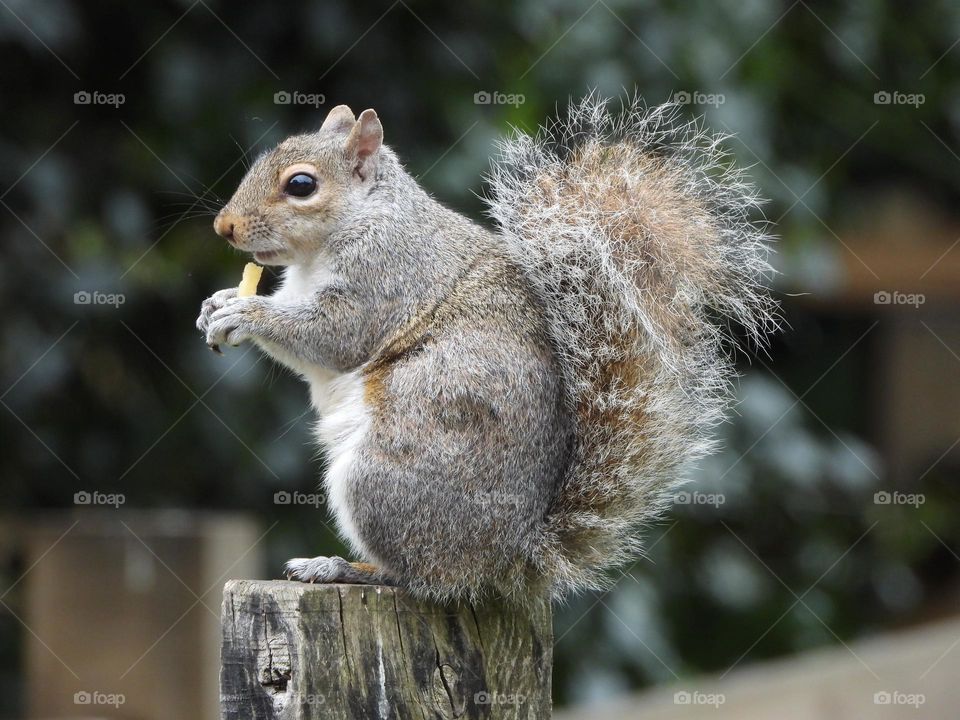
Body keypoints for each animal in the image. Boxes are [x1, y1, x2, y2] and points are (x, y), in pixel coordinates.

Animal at [196, 95, 775, 604]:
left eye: (301, 184)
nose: (223, 226)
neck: (347, 229)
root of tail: (508, 557)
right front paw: (218, 303)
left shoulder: (384, 277)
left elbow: (332, 337)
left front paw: (245, 314)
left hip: (386, 473)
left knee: (420, 577)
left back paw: (341, 567)